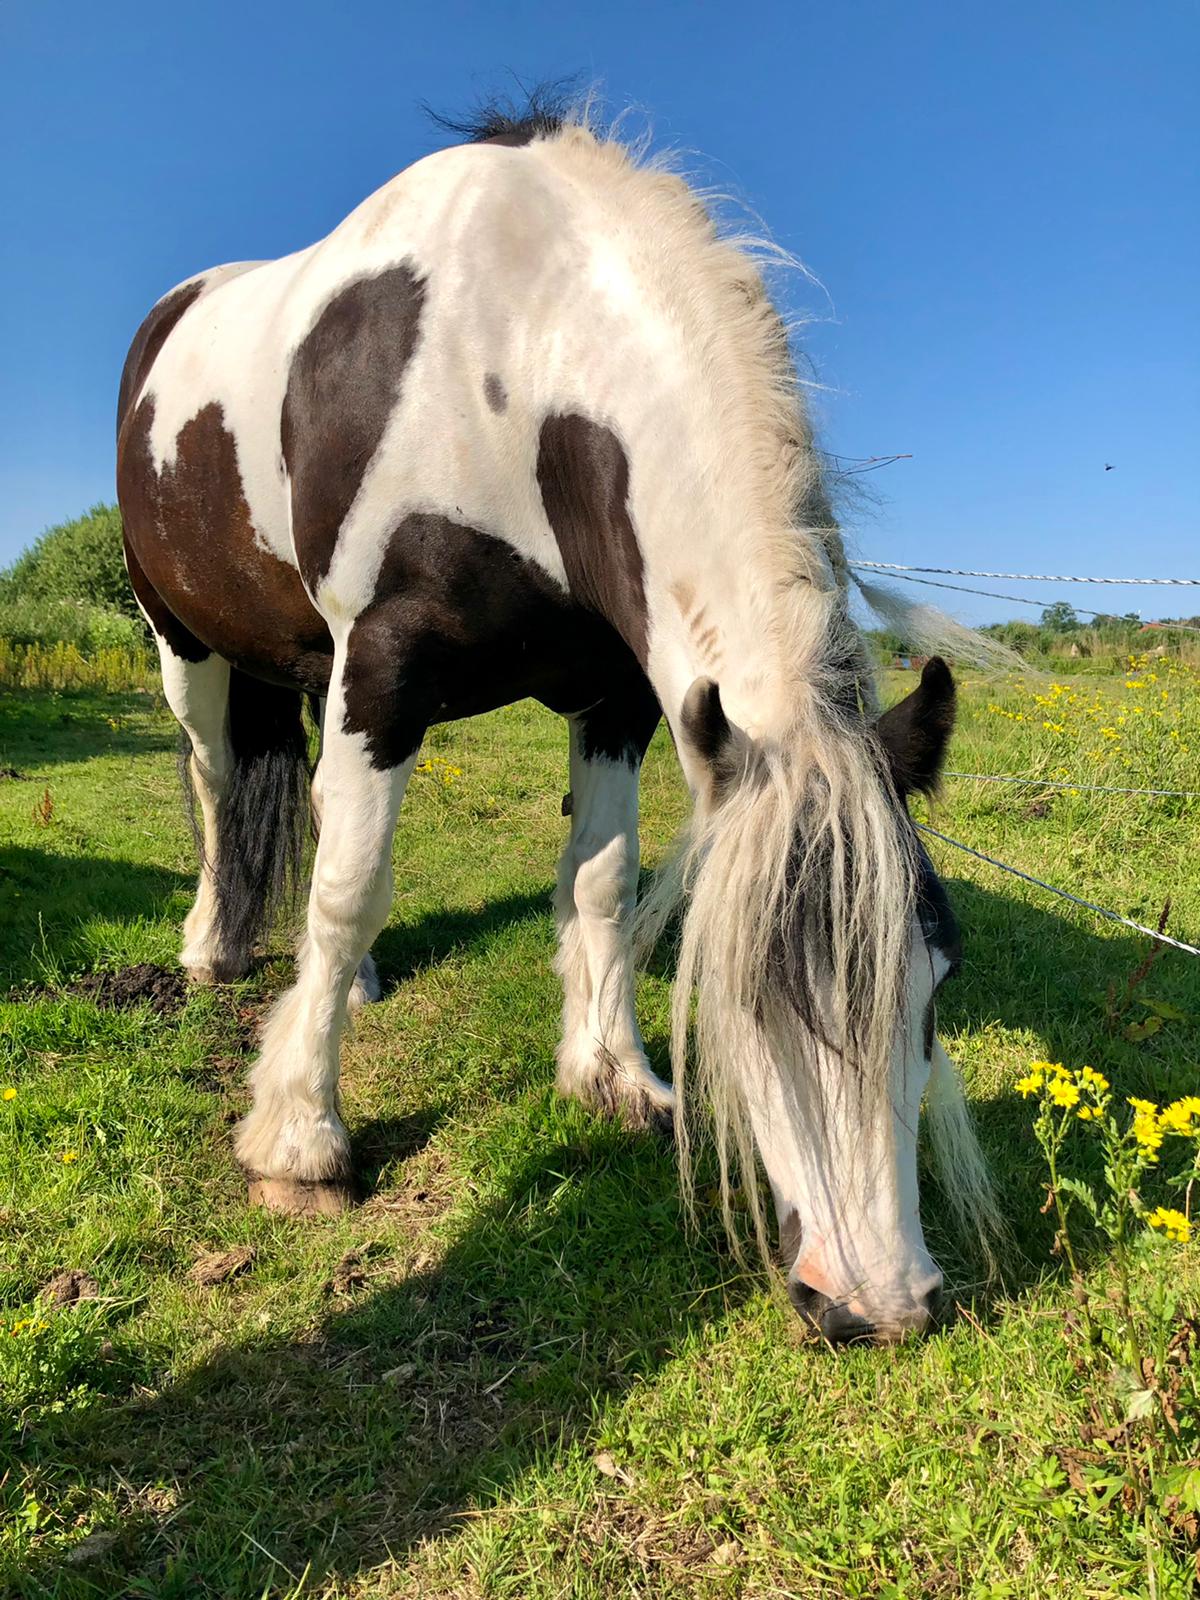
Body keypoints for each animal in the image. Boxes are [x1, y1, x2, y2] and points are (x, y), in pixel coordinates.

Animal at [116, 100, 996, 1345]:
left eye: (937, 980)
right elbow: (349, 886)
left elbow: (600, 880)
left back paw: (355, 982)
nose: (875, 1300)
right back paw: (214, 951)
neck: (513, 360)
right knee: (213, 787)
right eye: (740, 996)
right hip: (184, 645)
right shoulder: (381, 670)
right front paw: (300, 1139)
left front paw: (612, 1074)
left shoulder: (617, 695)